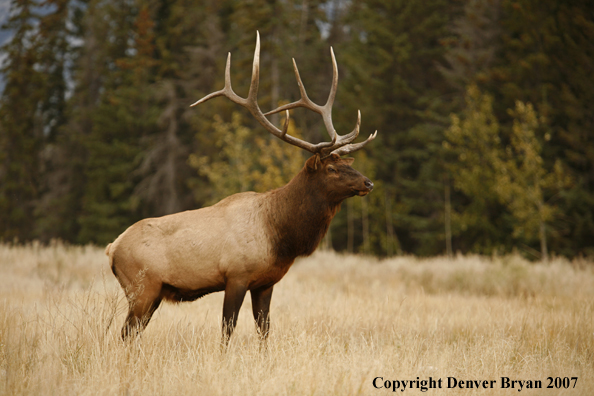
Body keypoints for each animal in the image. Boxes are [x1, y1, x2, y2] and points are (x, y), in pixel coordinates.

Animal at [105, 32, 374, 344]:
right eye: (331, 169)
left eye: (346, 163)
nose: (368, 182)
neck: (281, 235)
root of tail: (112, 248)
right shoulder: (236, 275)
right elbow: (228, 327)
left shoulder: (265, 282)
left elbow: (264, 328)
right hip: (142, 287)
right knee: (125, 333)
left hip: (152, 293)